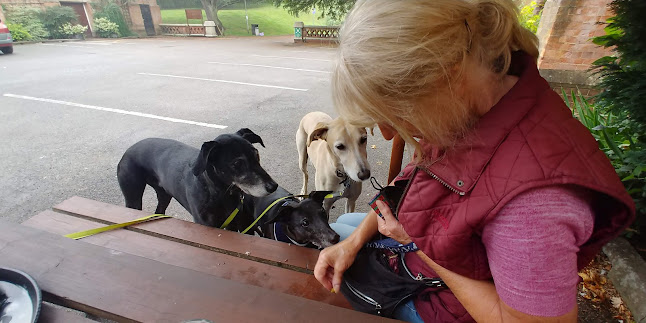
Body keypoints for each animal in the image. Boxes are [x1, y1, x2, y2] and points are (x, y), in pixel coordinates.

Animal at [118, 128, 278, 229]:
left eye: (257, 155)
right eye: (237, 163)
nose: (273, 186)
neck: (219, 193)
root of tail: (126, 152)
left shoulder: (237, 224)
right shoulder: (207, 226)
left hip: (164, 195)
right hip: (133, 198)